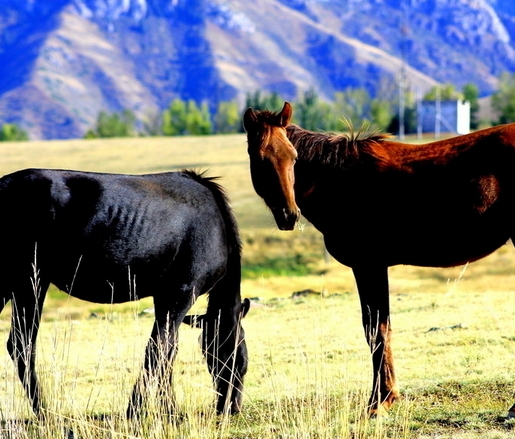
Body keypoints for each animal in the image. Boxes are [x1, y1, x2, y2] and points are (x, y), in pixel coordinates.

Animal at [0, 168, 251, 420]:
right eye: (240, 360)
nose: (232, 408)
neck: (216, 226)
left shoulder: (164, 298)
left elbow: (168, 351)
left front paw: (168, 411)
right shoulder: (181, 293)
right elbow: (158, 349)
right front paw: (137, 410)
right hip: (29, 282)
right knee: (22, 346)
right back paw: (45, 413)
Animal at [244, 101, 515, 418]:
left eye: (294, 157)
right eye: (260, 158)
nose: (289, 214)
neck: (340, 181)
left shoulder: (368, 265)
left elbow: (376, 330)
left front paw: (379, 402)